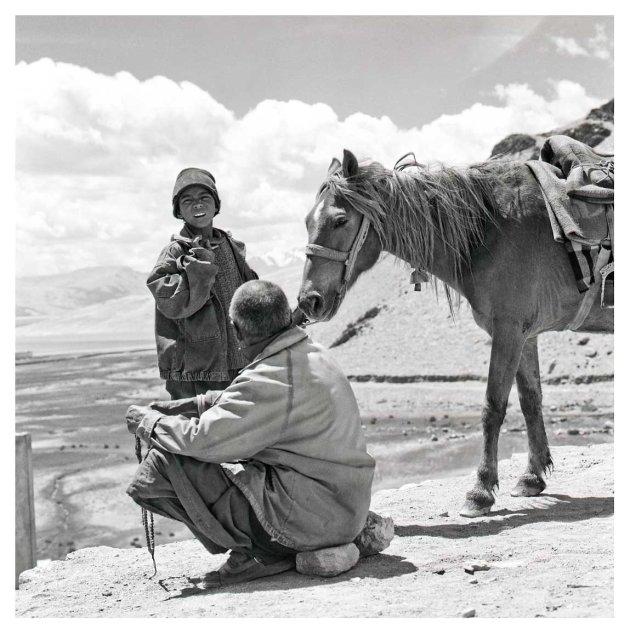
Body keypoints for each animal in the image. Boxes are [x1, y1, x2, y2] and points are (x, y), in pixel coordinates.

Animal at [298, 151, 616, 516]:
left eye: (340, 220)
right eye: (307, 221)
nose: (309, 301)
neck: (491, 229)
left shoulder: (508, 331)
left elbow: (493, 407)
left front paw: (480, 490)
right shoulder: (525, 335)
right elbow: (530, 400)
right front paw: (531, 477)